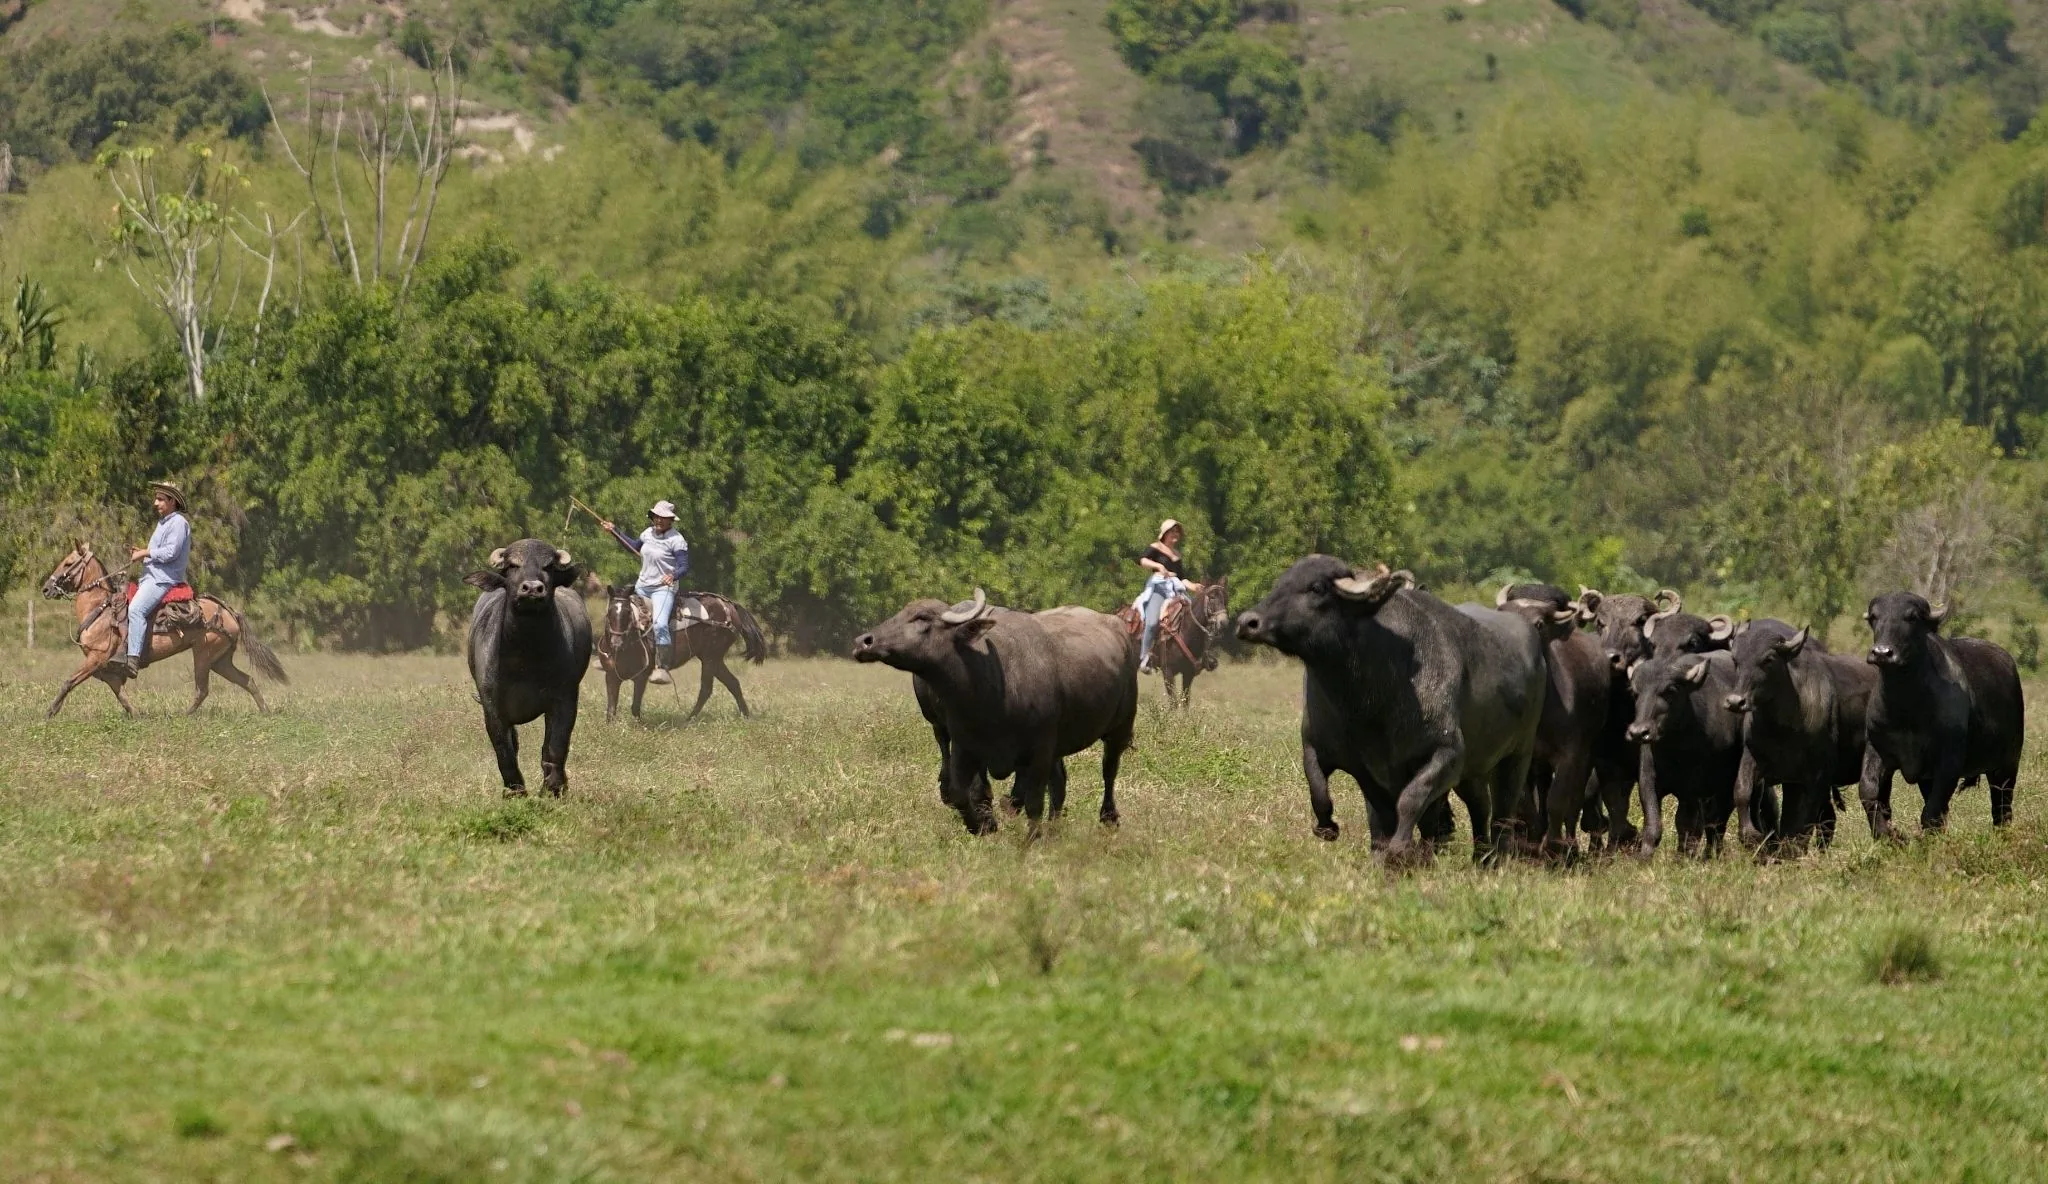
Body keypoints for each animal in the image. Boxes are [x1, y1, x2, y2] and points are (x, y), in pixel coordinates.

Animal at [464, 539, 593, 796]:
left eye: (548, 566)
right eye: (513, 566)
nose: (532, 588)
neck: (525, 657)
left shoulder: (564, 699)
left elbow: (555, 746)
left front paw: (553, 789)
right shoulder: (492, 705)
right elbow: (504, 749)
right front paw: (515, 791)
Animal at [854, 590, 1138, 835]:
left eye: (922, 617)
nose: (863, 642)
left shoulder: (1039, 750)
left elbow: (1032, 801)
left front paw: (1028, 837)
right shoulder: (966, 746)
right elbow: (962, 792)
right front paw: (982, 823)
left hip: (1121, 726)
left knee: (1109, 770)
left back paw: (1108, 818)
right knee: (1059, 782)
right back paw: (1053, 827)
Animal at [1235, 558, 1545, 863]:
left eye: (1317, 587)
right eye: (1280, 582)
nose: (1247, 622)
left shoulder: (1448, 754)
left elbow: (1411, 799)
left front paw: (1400, 849)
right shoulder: (1332, 753)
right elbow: (1322, 790)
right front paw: (1335, 832)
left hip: (1518, 754)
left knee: (1503, 812)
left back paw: (1495, 859)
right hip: (1476, 767)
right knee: (1479, 805)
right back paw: (1479, 857)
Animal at [1858, 593, 2023, 838]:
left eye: (1912, 617)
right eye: (1874, 617)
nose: (1882, 653)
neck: (1906, 706)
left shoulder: (1949, 761)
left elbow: (1932, 810)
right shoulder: (1878, 749)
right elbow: (1868, 790)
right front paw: (1889, 834)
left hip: (2008, 763)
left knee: (2002, 804)